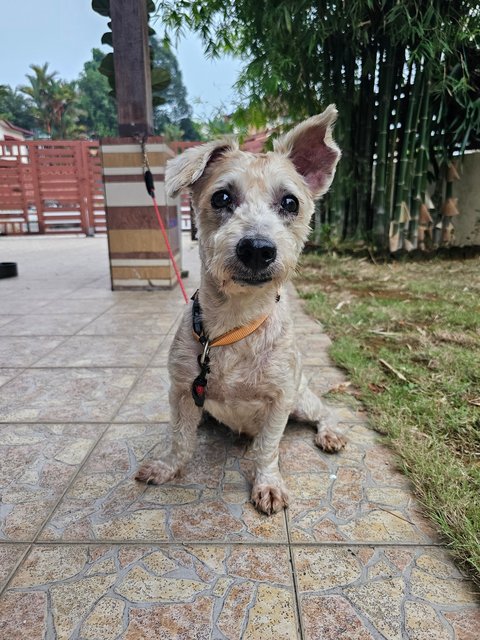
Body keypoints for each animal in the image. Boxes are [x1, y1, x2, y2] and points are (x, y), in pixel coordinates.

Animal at [137, 105, 346, 516]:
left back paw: (330, 433)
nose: (257, 249)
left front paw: (267, 484)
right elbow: (179, 437)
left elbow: (268, 448)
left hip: (302, 398)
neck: (236, 321)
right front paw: (168, 466)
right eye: (221, 198)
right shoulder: (182, 391)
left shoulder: (280, 399)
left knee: (325, 411)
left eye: (290, 203)